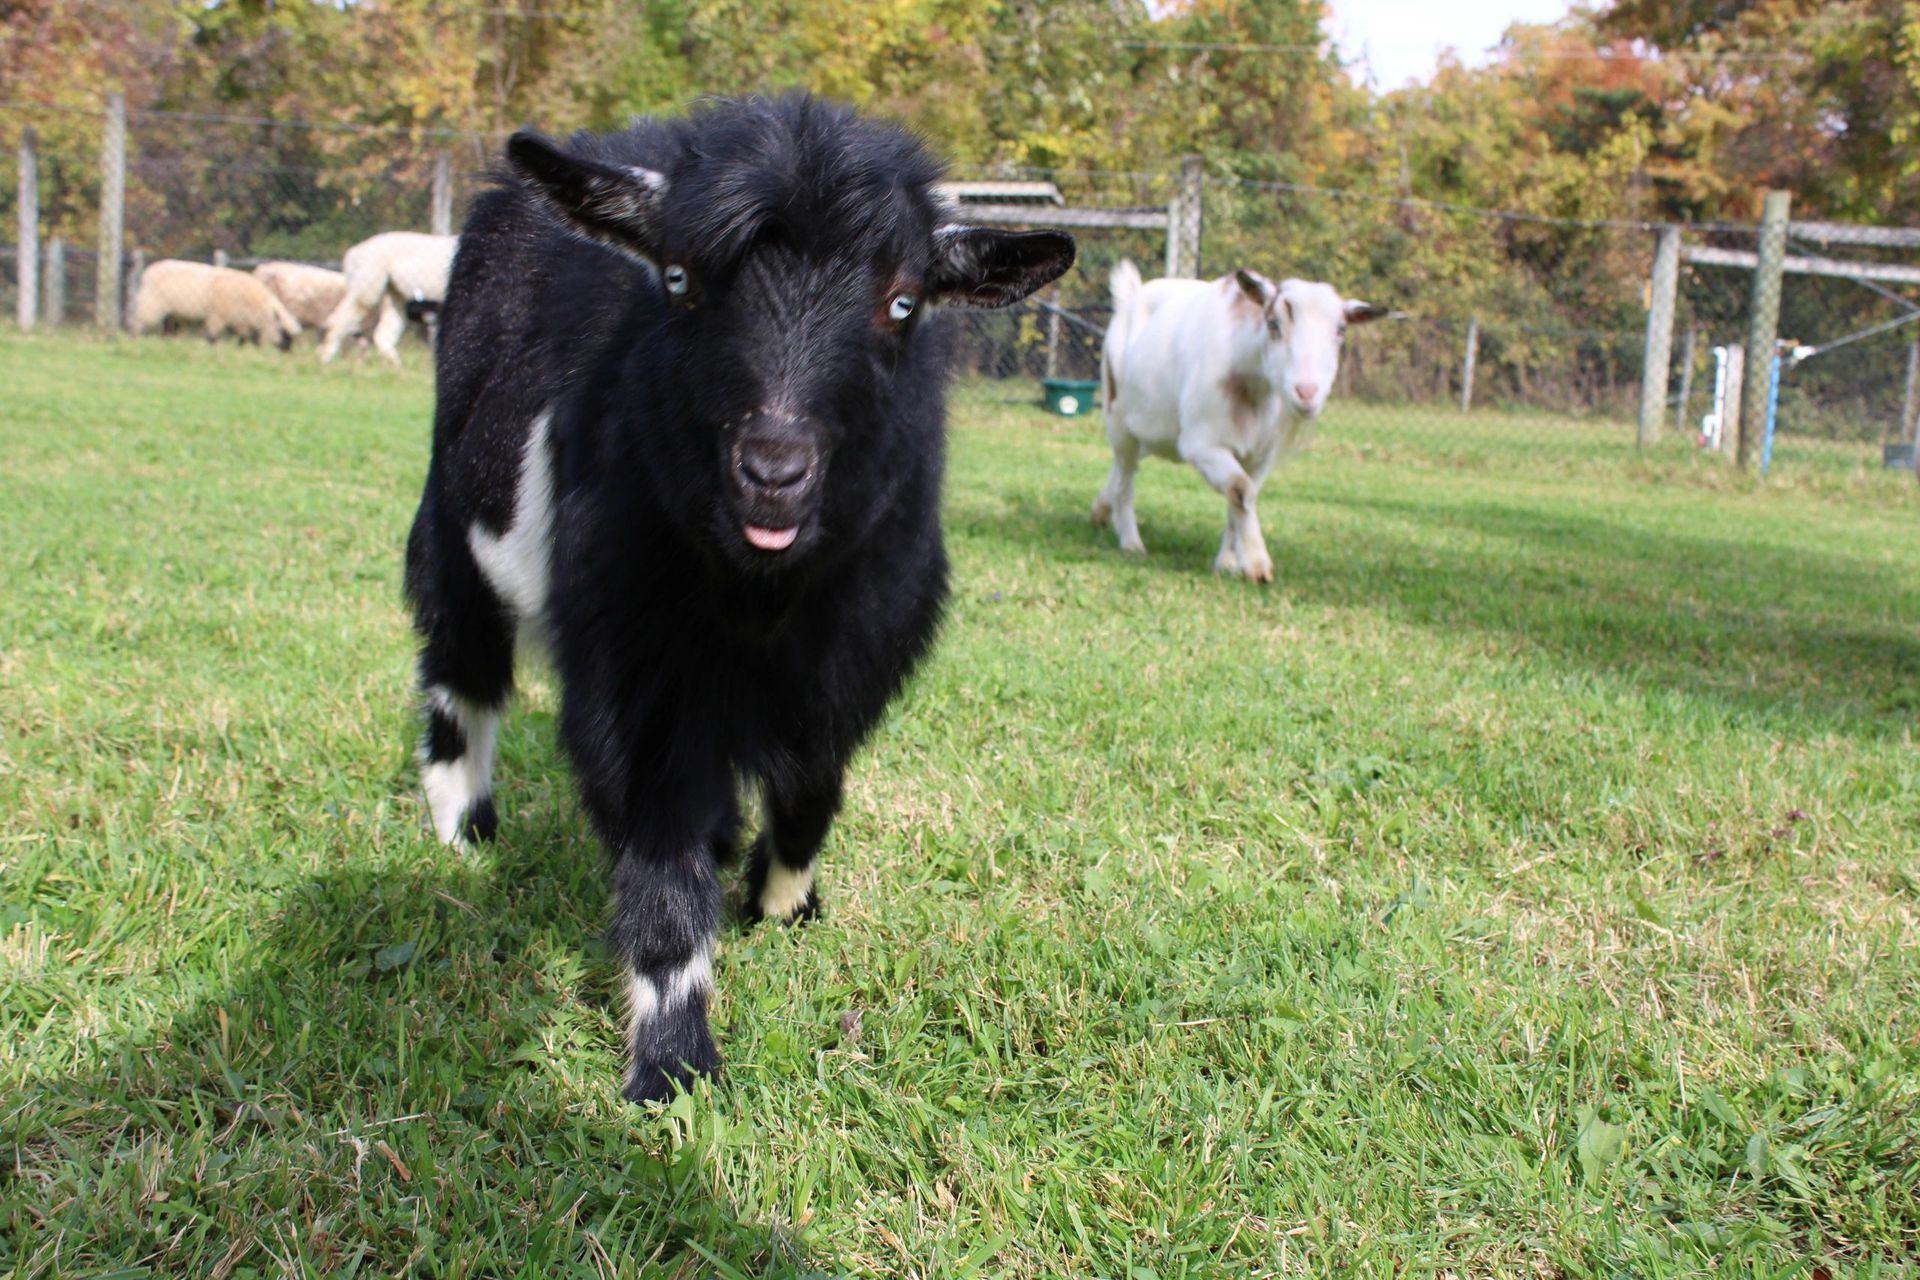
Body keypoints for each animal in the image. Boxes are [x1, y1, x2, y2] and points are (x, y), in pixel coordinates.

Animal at [406, 94, 1074, 1103]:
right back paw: (462, 830)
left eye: (903, 302)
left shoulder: (851, 664)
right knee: (461, 669)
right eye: (679, 281)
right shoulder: (638, 679)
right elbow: (664, 859)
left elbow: (810, 789)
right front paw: (673, 1064)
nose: (773, 474)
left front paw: (783, 902)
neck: (764, 603)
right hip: (456, 524)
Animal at [1093, 259, 1383, 580]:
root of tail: (1130, 297)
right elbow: (1240, 489)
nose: (1307, 392)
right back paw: (1131, 542)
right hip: (1118, 420)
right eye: (1273, 324)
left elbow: (1243, 496)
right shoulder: (1202, 445)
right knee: (1126, 474)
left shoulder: (1261, 455)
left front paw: (1228, 563)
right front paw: (1257, 566)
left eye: (1340, 330)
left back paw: (1101, 512)